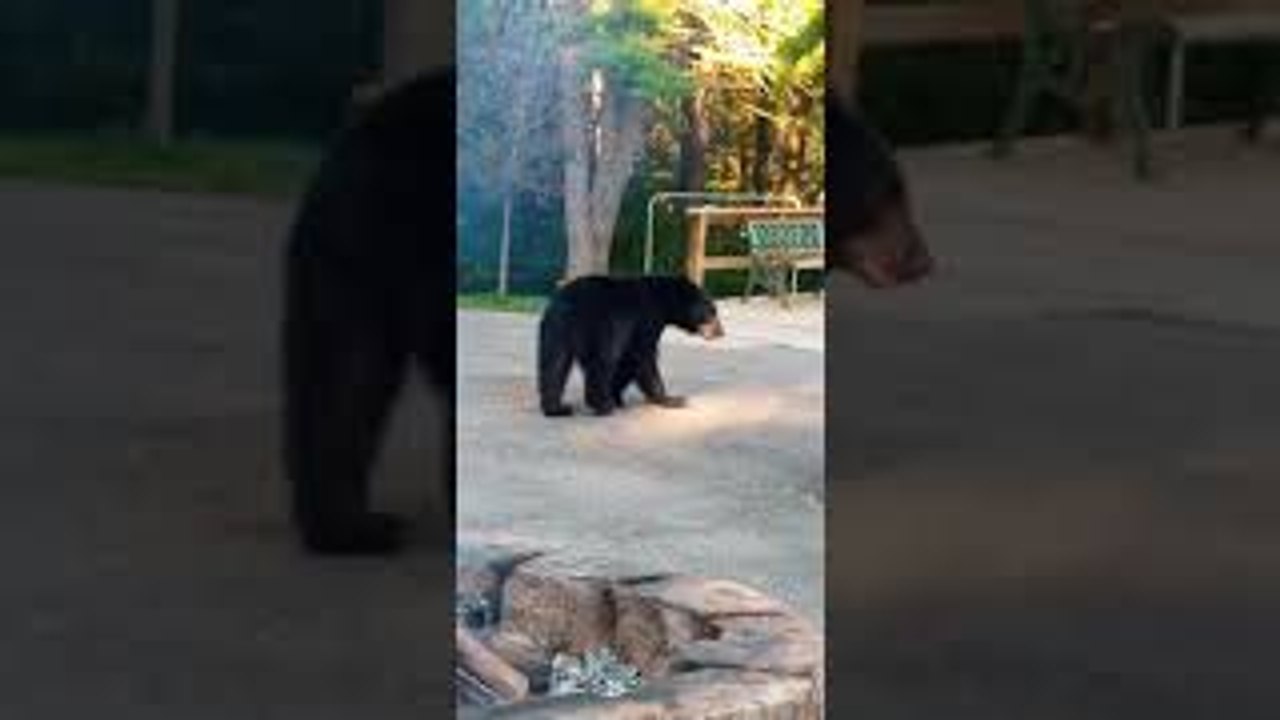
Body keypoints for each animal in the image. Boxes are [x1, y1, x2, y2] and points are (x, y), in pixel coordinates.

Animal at [281, 69, 455, 556]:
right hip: (387, 230)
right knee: (353, 373)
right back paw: (355, 528)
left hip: (348, 259)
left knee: (345, 371)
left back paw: (344, 525)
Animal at [538, 275, 725, 418]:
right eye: (712, 311)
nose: (721, 332)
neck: (663, 300)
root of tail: (570, 305)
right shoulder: (645, 319)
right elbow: (643, 356)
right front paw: (671, 399)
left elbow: (629, 360)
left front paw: (617, 396)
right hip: (601, 325)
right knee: (603, 360)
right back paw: (602, 405)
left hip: (556, 329)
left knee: (554, 364)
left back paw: (557, 408)